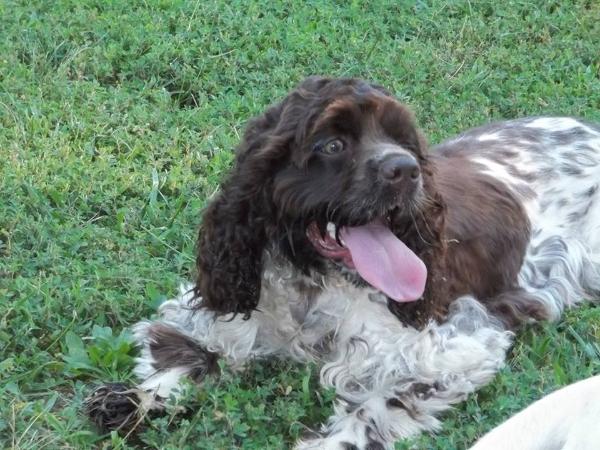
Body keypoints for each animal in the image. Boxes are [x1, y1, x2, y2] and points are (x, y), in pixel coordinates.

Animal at [85, 78, 600, 450]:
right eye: (331, 145)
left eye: (403, 139)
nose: (406, 170)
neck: (311, 284)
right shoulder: (218, 307)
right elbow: (183, 352)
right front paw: (135, 401)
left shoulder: (458, 343)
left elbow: (375, 407)